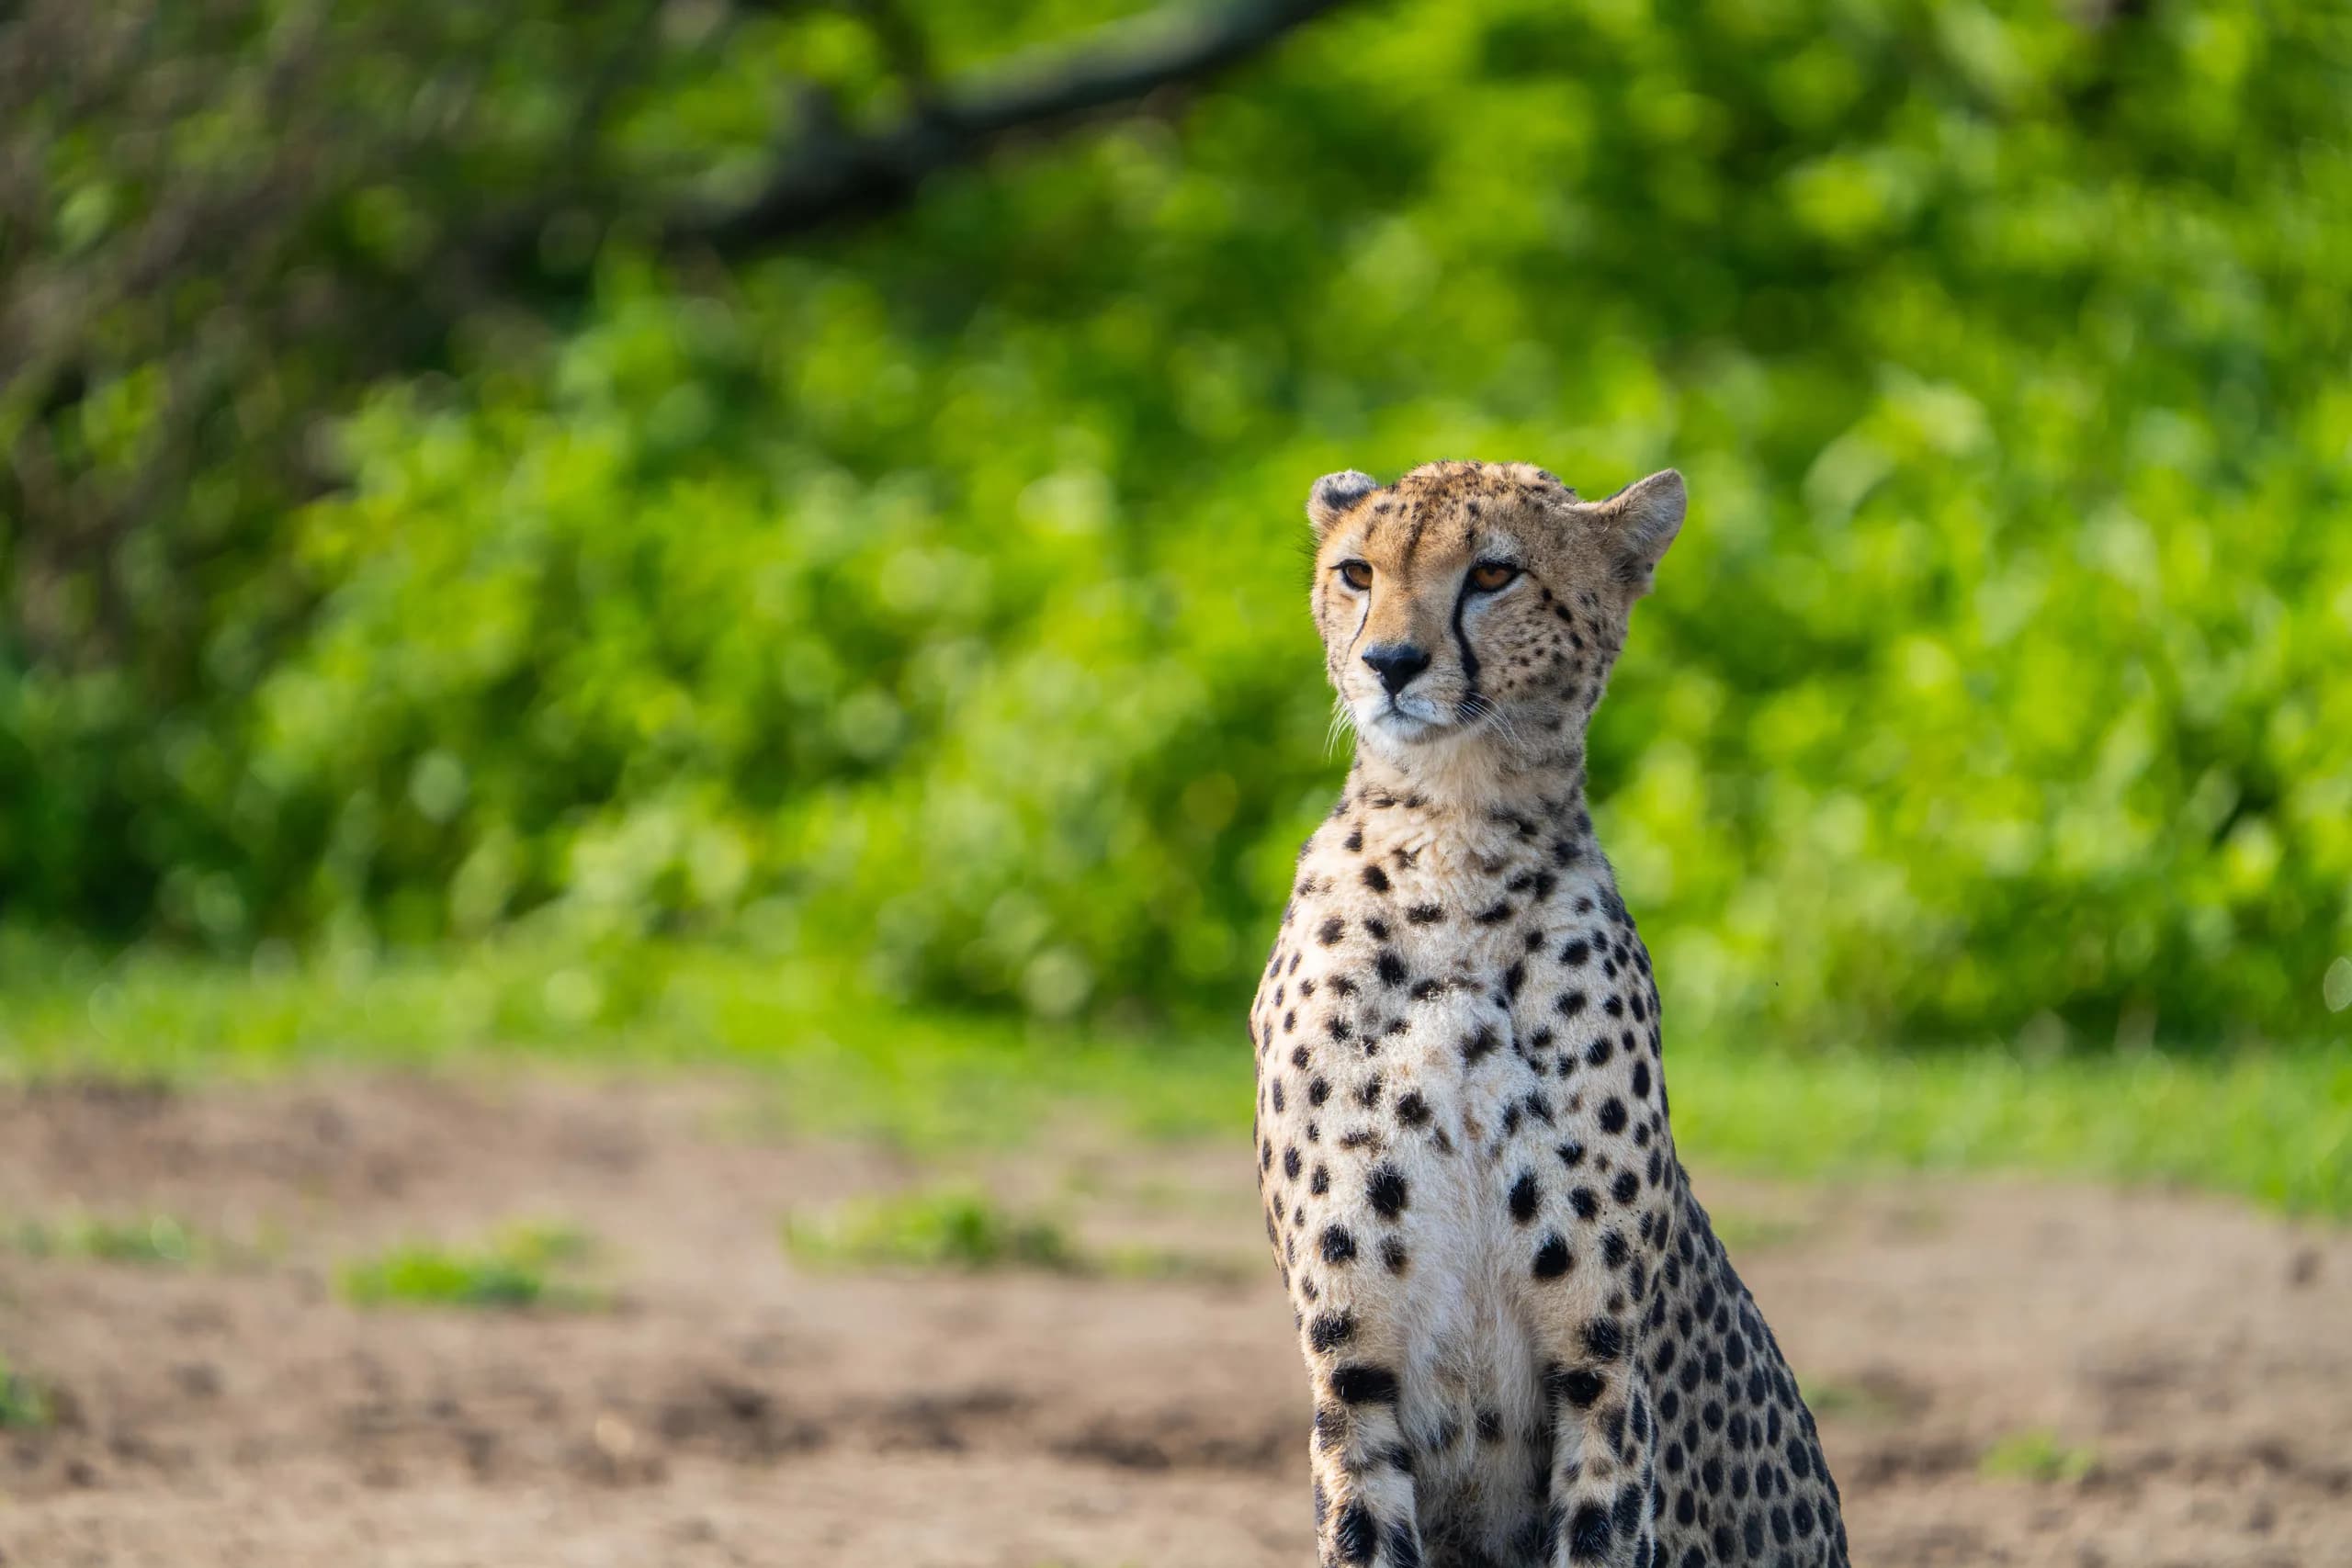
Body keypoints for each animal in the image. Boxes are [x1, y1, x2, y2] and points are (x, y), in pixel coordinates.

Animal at [1249, 459, 1849, 1568]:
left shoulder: (1601, 1367)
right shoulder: (1352, 1367)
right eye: (1357, 571)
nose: (1390, 663)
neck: (1452, 842)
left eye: (1493, 573)